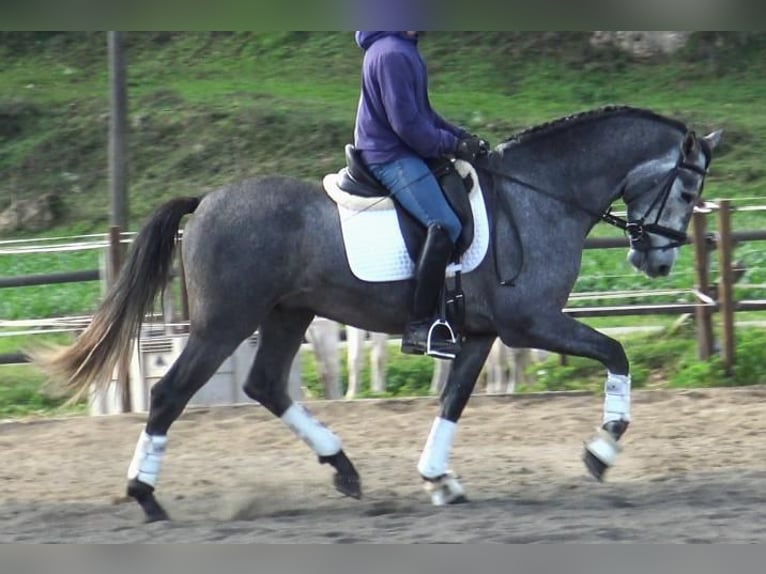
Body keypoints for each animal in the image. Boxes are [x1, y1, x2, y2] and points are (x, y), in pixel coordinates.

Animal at [39, 106, 724, 524]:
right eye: (688, 189)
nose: (657, 260)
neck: (538, 196)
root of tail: (206, 200)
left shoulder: (481, 334)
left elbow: (453, 400)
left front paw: (439, 479)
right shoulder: (530, 323)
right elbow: (616, 352)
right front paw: (601, 450)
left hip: (287, 315)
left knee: (266, 385)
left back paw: (343, 469)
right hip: (225, 323)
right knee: (169, 394)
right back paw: (145, 495)